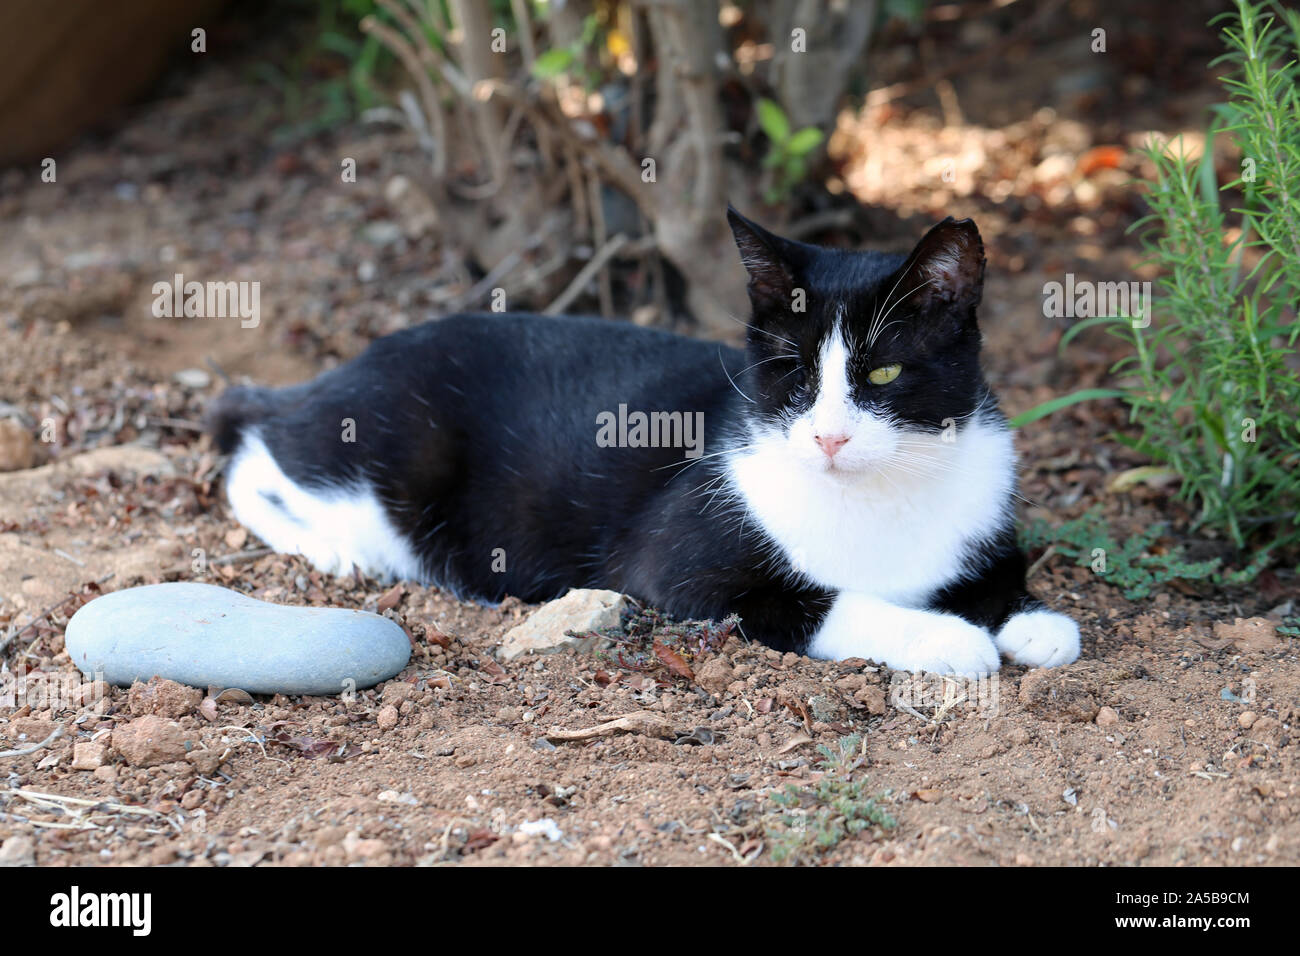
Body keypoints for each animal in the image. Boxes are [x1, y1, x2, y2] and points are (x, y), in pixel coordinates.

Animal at [208, 208, 1081, 671]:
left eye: (887, 374)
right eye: (792, 371)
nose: (830, 439)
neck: (882, 493)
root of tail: (345, 366)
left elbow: (1003, 575)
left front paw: (1032, 620)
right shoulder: (681, 571)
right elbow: (824, 603)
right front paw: (950, 638)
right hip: (391, 449)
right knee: (254, 453)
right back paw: (337, 550)